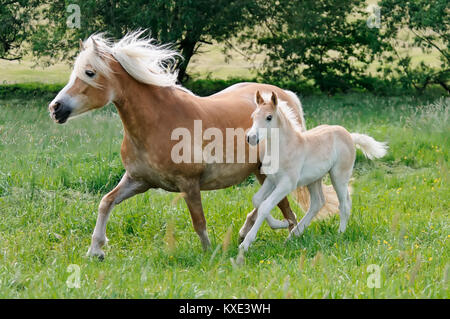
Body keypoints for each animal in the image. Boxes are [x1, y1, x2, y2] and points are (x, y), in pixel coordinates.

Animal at [49, 31, 338, 260]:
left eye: (89, 72)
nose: (55, 108)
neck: (157, 122)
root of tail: (286, 98)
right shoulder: (138, 180)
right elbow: (106, 202)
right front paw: (95, 250)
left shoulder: (188, 184)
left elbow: (199, 222)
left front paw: (210, 255)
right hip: (260, 172)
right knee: (267, 202)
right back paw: (247, 232)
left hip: (269, 172)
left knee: (284, 207)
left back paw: (287, 237)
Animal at [241, 91, 388, 251]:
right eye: (253, 116)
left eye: (269, 117)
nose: (251, 138)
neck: (285, 147)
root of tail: (350, 135)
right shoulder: (271, 180)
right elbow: (257, 200)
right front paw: (284, 223)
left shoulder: (287, 184)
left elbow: (265, 206)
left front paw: (246, 244)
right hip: (314, 179)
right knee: (318, 202)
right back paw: (293, 235)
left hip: (338, 176)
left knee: (343, 204)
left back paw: (339, 234)